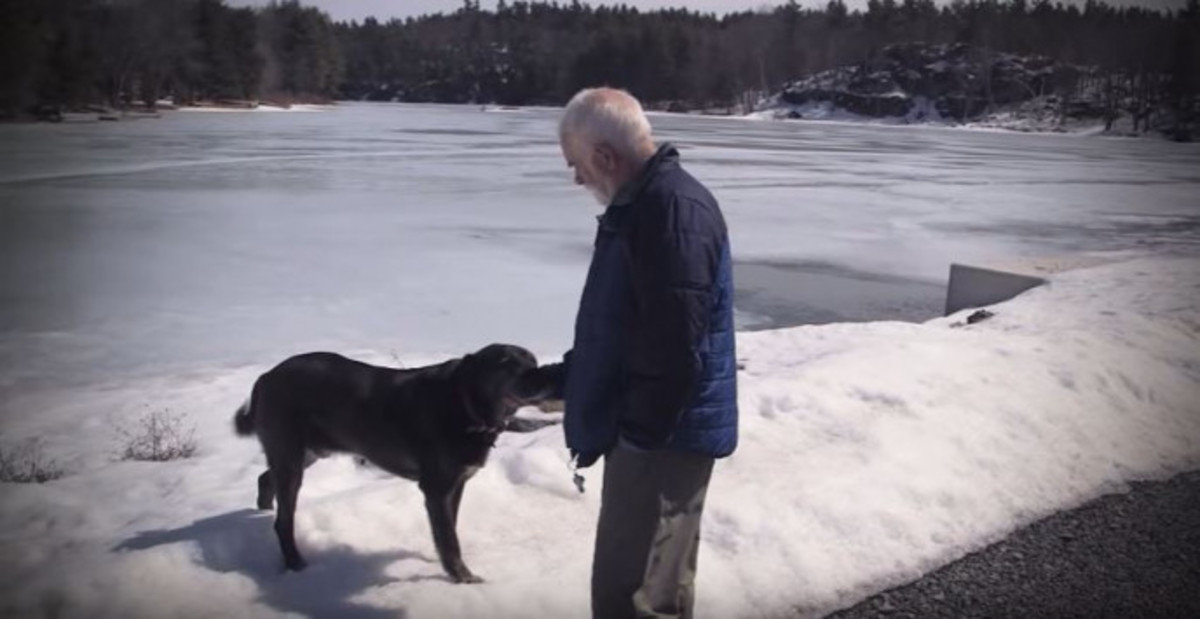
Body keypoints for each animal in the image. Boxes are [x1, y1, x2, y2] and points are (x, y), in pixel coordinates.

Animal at [232, 343, 556, 580]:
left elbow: (448, 528)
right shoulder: (436, 488)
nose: (542, 375)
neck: (465, 405)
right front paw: (463, 578)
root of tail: (265, 378)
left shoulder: (456, 484)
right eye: (505, 361)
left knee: (266, 478)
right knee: (283, 521)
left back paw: (262, 511)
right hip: (292, 456)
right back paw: (295, 563)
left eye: (532, 360)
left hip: (307, 451)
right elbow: (449, 537)